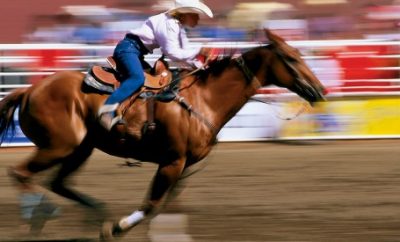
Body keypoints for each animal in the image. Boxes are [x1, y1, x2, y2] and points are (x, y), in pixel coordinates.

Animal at [0, 29, 324, 239]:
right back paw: (37, 219)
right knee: (21, 173)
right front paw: (116, 228)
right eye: (290, 58)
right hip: (58, 146)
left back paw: (82, 213)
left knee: (57, 183)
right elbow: (151, 204)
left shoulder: (185, 166)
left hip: (80, 149)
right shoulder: (172, 161)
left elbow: (167, 206)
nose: (320, 90)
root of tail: (29, 90)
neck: (204, 98)